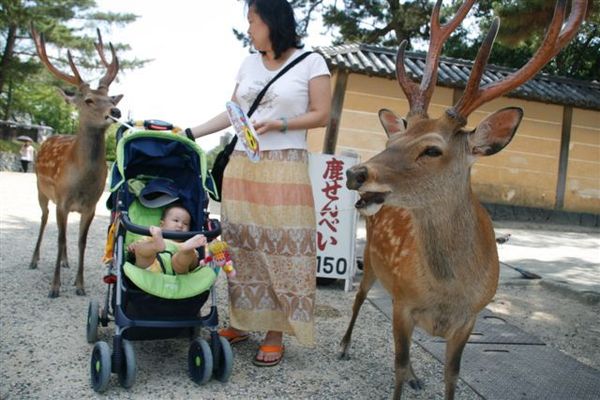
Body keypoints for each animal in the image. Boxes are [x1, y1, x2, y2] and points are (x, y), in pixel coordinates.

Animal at [29, 27, 123, 296]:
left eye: (111, 99)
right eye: (89, 100)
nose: (115, 112)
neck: (82, 180)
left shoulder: (91, 205)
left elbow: (81, 240)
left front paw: (79, 284)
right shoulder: (61, 200)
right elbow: (60, 238)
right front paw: (55, 287)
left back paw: (66, 261)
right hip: (41, 189)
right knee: (44, 219)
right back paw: (34, 260)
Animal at [340, 1, 588, 398]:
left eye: (432, 149)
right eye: (392, 140)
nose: (355, 174)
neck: (447, 293)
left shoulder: (469, 319)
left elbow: (451, 375)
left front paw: (424, 376)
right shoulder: (403, 303)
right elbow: (396, 366)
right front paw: (401, 376)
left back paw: (416, 375)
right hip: (372, 263)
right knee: (360, 299)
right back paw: (346, 346)